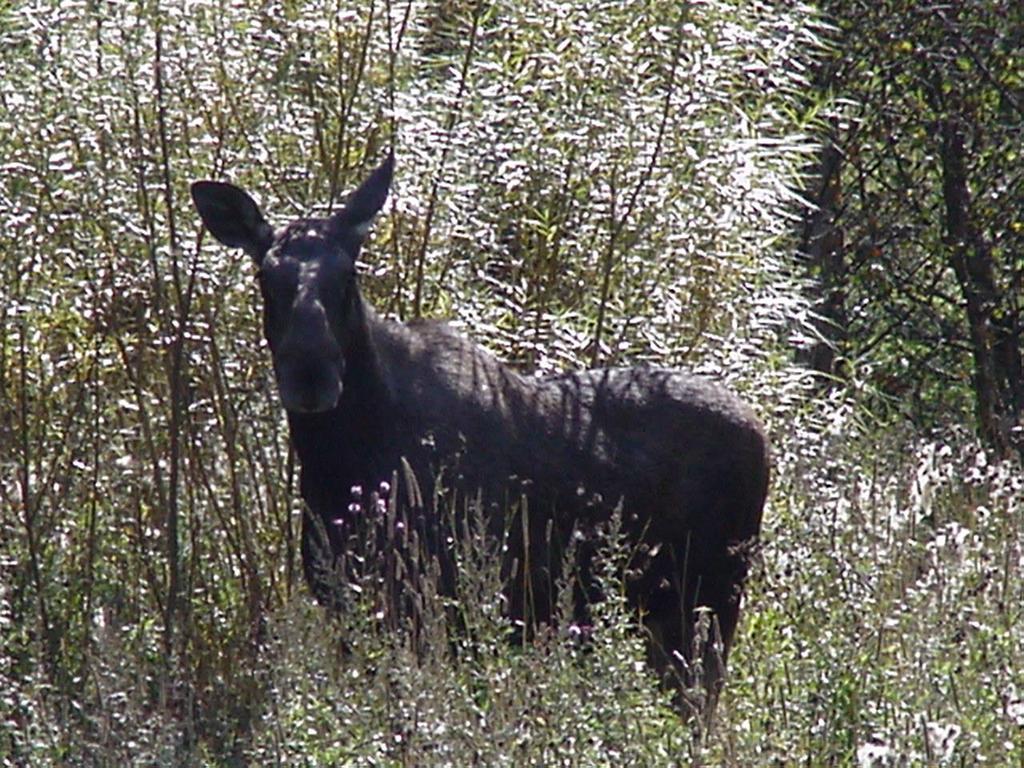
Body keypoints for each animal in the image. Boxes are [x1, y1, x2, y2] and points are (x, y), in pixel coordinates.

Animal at [190, 153, 770, 712]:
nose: (310, 372)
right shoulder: (348, 603)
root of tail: (762, 436)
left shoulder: (450, 602)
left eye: (349, 276)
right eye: (266, 278)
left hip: (708, 600)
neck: (341, 462)